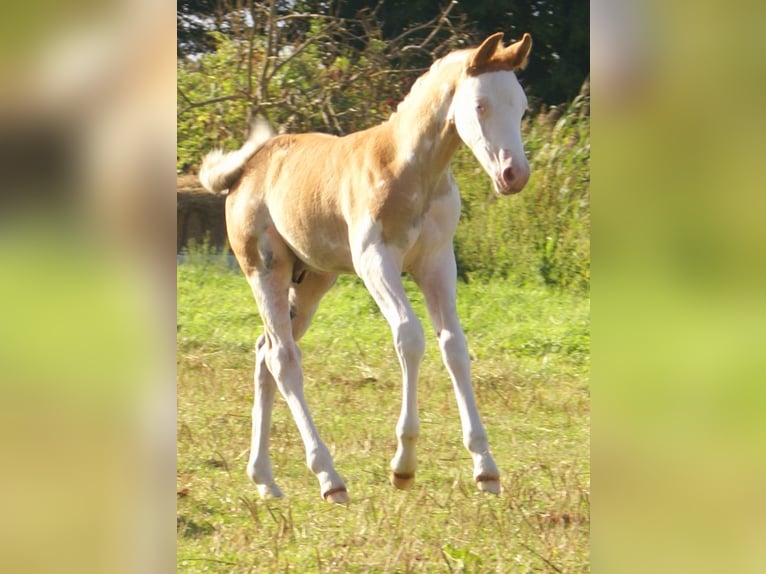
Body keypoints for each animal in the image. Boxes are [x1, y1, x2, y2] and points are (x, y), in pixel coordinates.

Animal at [199, 32, 532, 503]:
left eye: (521, 107)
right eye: (480, 105)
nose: (513, 174)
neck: (411, 171)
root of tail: (246, 169)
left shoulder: (436, 260)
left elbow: (454, 345)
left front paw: (485, 468)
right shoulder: (375, 258)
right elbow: (410, 337)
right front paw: (403, 466)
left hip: (312, 280)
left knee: (265, 352)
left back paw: (265, 479)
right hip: (266, 269)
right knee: (283, 358)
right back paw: (329, 478)